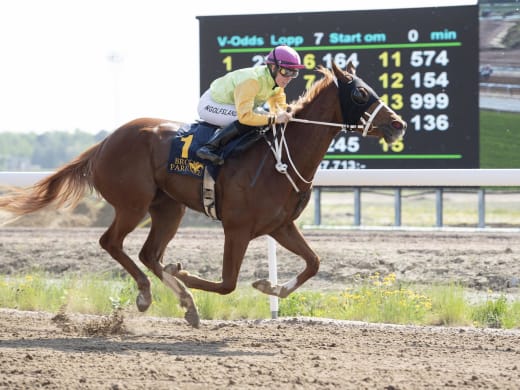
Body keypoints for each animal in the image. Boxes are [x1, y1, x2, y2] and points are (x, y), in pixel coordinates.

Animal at [0, 63, 404, 326]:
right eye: (360, 92)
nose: (398, 123)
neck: (281, 156)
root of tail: (103, 143)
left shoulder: (280, 226)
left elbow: (314, 263)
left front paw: (268, 285)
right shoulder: (237, 228)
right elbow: (226, 284)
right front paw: (184, 274)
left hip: (168, 208)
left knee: (148, 253)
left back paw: (182, 300)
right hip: (133, 204)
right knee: (112, 242)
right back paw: (150, 293)